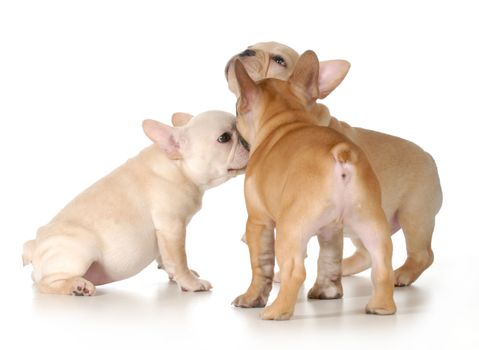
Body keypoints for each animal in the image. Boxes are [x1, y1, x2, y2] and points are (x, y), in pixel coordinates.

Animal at [22, 110, 248, 296]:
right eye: (224, 138)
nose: (248, 140)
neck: (177, 167)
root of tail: (35, 246)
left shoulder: (164, 234)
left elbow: (165, 257)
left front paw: (173, 274)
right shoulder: (172, 227)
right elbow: (179, 258)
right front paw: (191, 283)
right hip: (80, 252)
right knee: (45, 284)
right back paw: (76, 287)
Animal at [227, 41, 444, 288]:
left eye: (279, 60)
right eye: (250, 46)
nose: (246, 52)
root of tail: (429, 157)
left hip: (414, 216)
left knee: (423, 254)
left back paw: (402, 274)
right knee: (367, 254)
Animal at [232, 51, 398, 320]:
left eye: (237, 110)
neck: (285, 120)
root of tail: (340, 153)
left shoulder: (258, 221)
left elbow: (261, 266)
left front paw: (251, 299)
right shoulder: (331, 230)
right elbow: (330, 259)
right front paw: (327, 292)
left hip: (290, 229)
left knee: (294, 270)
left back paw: (277, 311)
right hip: (371, 221)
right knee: (383, 265)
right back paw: (381, 307)